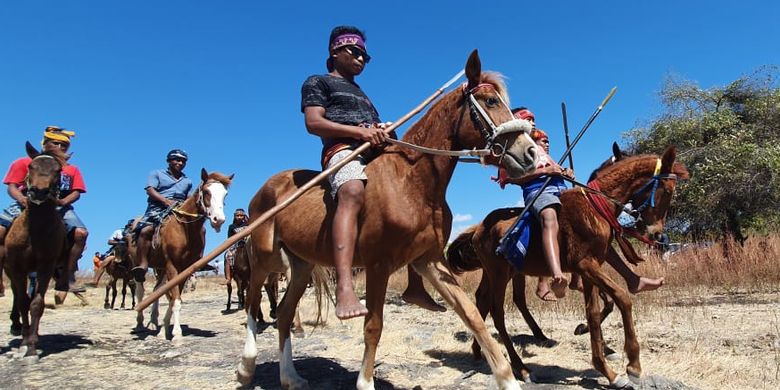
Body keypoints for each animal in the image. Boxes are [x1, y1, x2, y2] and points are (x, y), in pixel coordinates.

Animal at [3, 142, 71, 356]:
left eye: (58, 171)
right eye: (31, 167)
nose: (39, 192)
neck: (35, 229)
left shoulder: (46, 266)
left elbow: (36, 303)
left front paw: (32, 344)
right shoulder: (17, 267)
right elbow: (23, 301)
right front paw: (24, 342)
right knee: (16, 294)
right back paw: (17, 327)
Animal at [238, 50, 540, 388]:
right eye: (490, 101)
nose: (530, 154)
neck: (412, 181)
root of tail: (266, 187)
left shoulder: (429, 260)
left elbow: (472, 316)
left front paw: (508, 378)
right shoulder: (378, 266)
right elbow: (373, 326)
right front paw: (365, 382)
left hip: (301, 266)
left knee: (285, 313)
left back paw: (290, 377)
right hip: (265, 256)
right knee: (252, 302)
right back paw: (246, 367)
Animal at [444, 146, 688, 386]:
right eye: (668, 191)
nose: (657, 234)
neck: (594, 206)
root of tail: (478, 229)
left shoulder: (591, 269)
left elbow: (594, 313)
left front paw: (605, 368)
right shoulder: (585, 265)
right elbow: (622, 298)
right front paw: (633, 365)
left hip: (498, 272)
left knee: (483, 301)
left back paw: (480, 351)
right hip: (500, 274)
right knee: (498, 313)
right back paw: (521, 368)